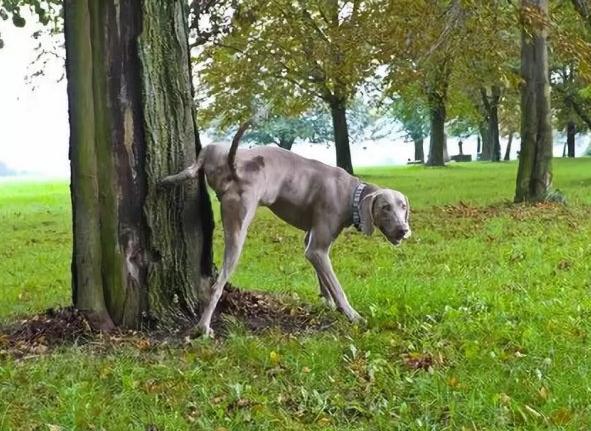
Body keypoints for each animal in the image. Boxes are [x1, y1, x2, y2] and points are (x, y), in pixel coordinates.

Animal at [161, 125, 412, 338]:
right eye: (385, 207)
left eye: (403, 207)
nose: (404, 230)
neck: (352, 193)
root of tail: (235, 165)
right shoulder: (317, 248)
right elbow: (337, 286)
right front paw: (352, 315)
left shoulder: (311, 242)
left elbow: (323, 277)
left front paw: (328, 302)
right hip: (238, 227)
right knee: (216, 286)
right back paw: (203, 327)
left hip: (216, 147)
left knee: (195, 166)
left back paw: (166, 180)